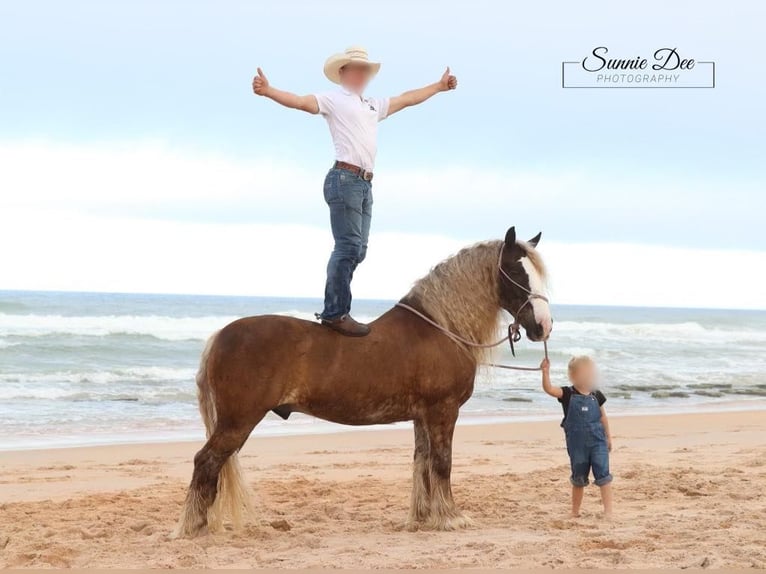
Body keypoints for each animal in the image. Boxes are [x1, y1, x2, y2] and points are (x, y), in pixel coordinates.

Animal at [176, 226, 552, 540]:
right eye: (516, 272)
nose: (543, 326)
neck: (441, 327)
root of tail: (220, 335)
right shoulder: (442, 412)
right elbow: (442, 463)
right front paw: (451, 517)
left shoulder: (422, 417)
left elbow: (422, 463)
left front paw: (422, 517)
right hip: (237, 422)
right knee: (205, 462)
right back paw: (194, 527)